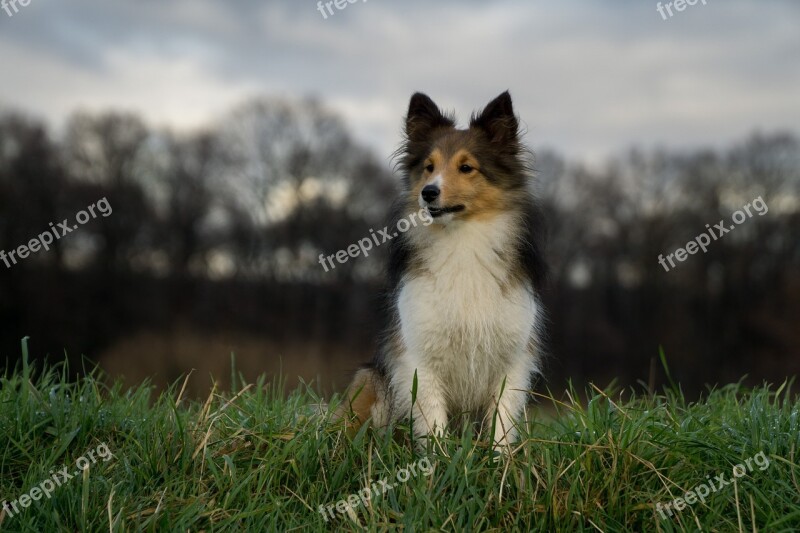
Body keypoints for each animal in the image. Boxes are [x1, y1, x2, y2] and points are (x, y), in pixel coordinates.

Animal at [334, 90, 548, 444]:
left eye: (466, 167)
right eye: (428, 166)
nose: (428, 192)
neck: (462, 242)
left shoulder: (513, 360)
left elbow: (501, 423)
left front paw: (498, 457)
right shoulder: (419, 359)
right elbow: (433, 420)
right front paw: (440, 456)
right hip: (370, 378)